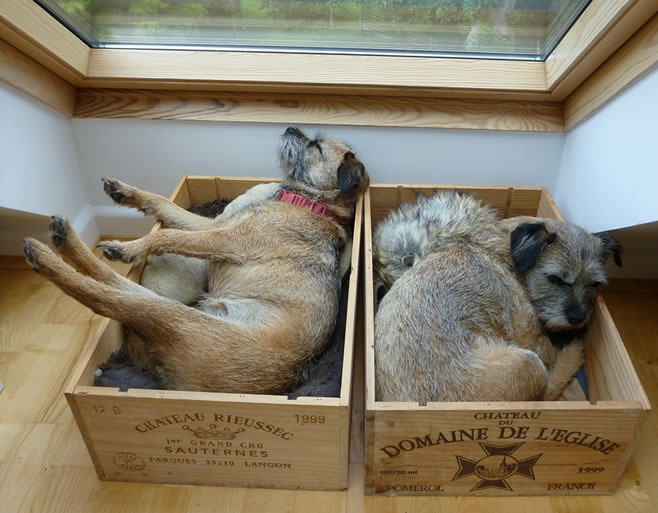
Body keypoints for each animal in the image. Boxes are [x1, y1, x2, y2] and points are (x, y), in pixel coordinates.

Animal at [23, 127, 366, 392]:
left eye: (316, 146)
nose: (291, 128)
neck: (310, 204)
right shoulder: (215, 226)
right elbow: (168, 208)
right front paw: (128, 193)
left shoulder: (226, 239)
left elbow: (167, 237)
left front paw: (134, 247)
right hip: (171, 307)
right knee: (114, 284)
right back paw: (64, 239)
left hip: (174, 317)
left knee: (103, 298)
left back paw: (51, 254)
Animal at [372, 190, 616, 402]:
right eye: (555, 278)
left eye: (595, 283)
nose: (579, 317)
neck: (502, 250)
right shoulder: (535, 341)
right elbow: (550, 353)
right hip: (528, 361)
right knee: (548, 391)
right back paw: (572, 355)